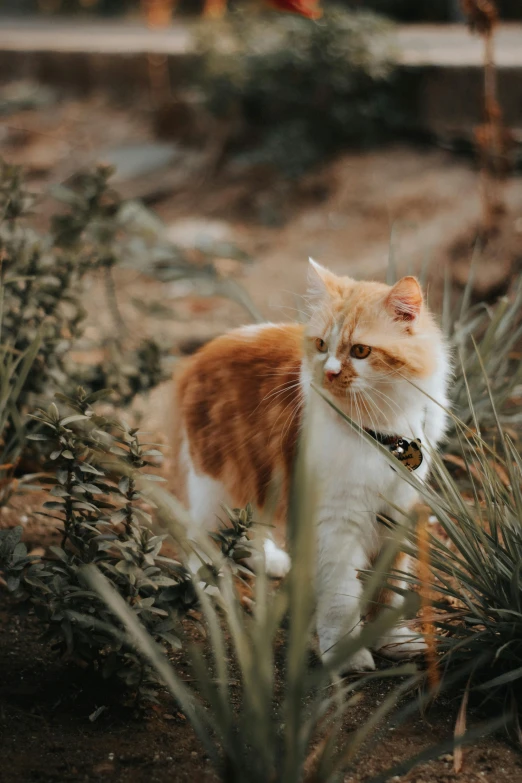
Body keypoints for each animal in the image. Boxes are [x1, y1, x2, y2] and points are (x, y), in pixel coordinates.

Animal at [173, 260, 448, 672]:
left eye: (361, 351)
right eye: (321, 345)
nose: (330, 372)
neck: (382, 433)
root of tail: (207, 348)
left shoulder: (396, 512)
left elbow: (389, 587)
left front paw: (392, 641)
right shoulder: (335, 520)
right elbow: (340, 597)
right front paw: (346, 655)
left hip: (261, 482)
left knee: (251, 526)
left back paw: (268, 560)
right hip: (218, 486)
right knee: (202, 543)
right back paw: (209, 581)